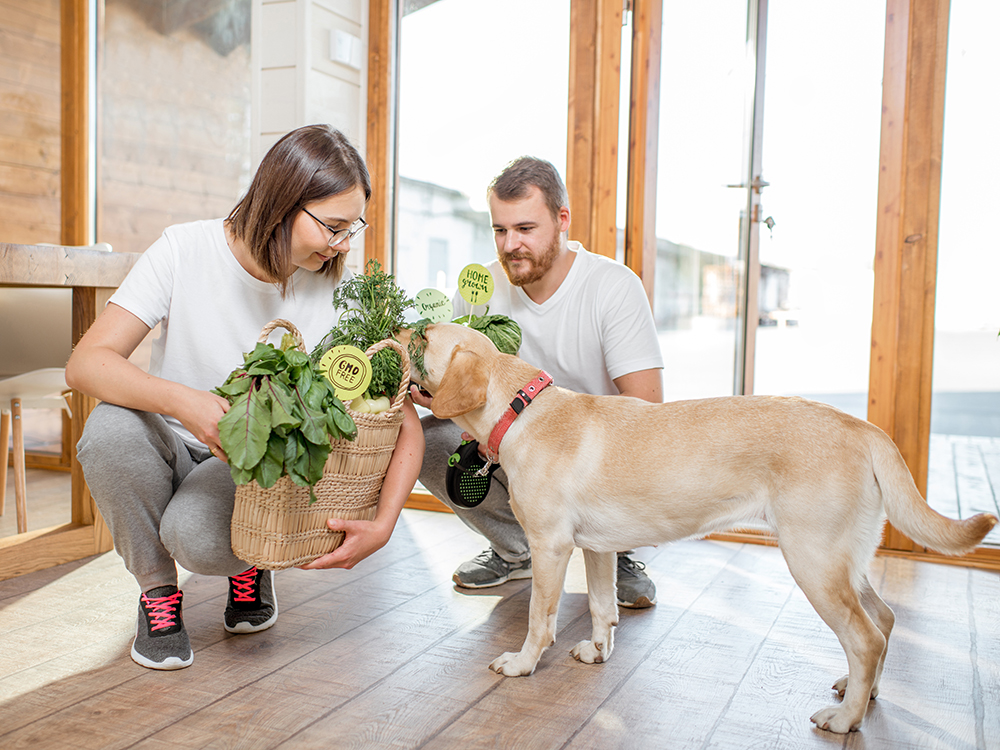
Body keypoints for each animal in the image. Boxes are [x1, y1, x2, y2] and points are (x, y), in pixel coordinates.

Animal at [402, 324, 996, 736]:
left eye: (425, 335)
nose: (400, 328)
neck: (521, 411)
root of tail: (862, 426)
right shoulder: (595, 549)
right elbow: (600, 606)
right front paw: (599, 651)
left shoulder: (551, 547)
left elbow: (538, 621)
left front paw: (522, 664)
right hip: (843, 561)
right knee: (885, 620)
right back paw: (860, 691)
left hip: (813, 562)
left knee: (866, 637)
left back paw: (846, 719)